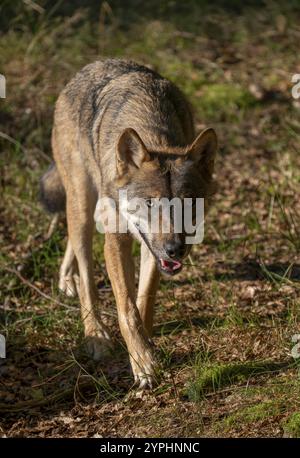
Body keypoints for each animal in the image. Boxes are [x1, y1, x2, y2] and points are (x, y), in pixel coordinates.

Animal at [40, 59, 218, 390]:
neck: (152, 130)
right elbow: (126, 308)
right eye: (149, 204)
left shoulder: (153, 250)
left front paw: (145, 348)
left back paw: (66, 278)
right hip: (82, 205)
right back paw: (95, 334)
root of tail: (90, 66)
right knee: (87, 277)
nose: (176, 250)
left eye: (188, 203)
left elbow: (143, 300)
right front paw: (143, 364)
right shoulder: (116, 241)